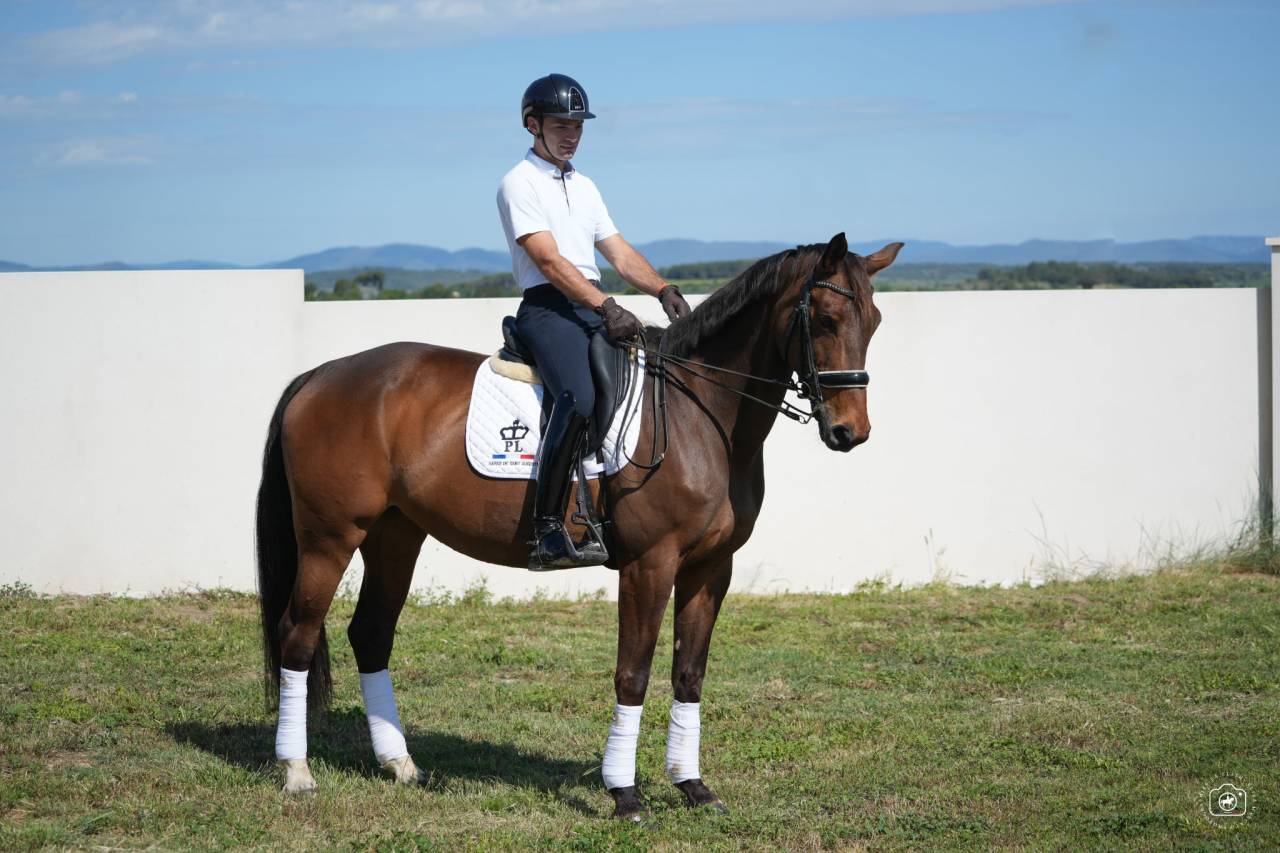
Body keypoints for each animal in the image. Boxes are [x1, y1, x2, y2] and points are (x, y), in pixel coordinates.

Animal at [255, 232, 901, 818]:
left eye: (872, 321)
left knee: (370, 633)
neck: (700, 413)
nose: (850, 432)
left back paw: (400, 765)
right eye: (824, 318)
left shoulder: (711, 567)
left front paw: (693, 787)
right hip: (331, 537)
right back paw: (297, 772)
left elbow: (689, 675)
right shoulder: (649, 564)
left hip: (395, 536)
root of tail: (323, 375)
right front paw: (625, 794)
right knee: (297, 634)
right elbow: (633, 674)